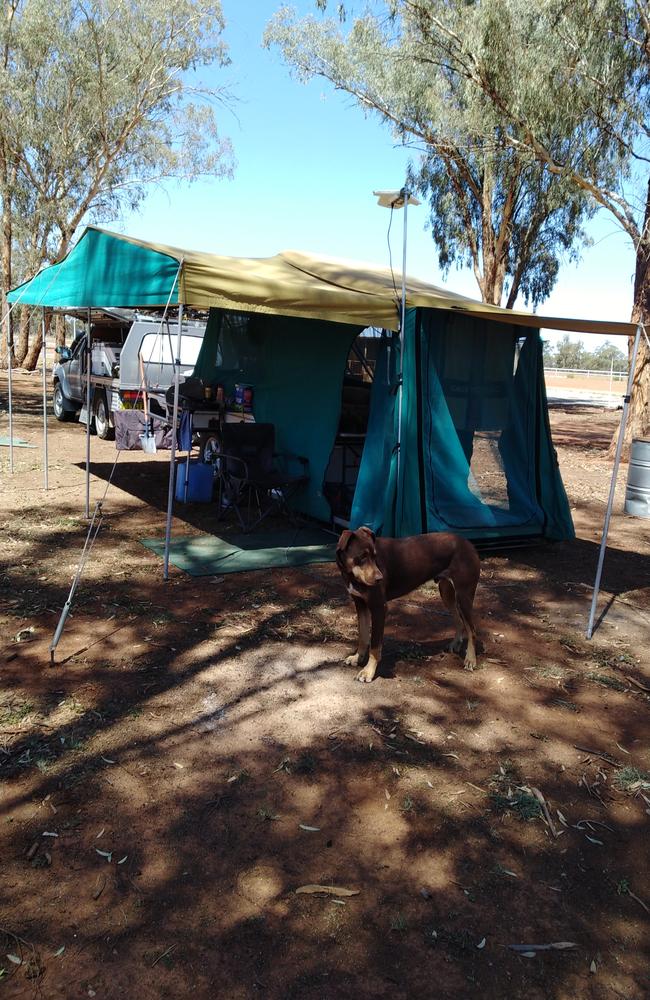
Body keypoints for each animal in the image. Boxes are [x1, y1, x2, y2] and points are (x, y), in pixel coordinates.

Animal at [336, 528, 478, 684]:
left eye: (375, 556)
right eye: (362, 556)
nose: (380, 579)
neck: (351, 575)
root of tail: (468, 543)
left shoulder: (379, 607)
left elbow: (375, 645)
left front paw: (368, 672)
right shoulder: (360, 604)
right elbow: (362, 636)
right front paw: (357, 658)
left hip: (464, 595)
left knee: (472, 629)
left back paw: (471, 660)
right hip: (447, 593)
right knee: (459, 619)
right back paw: (456, 644)